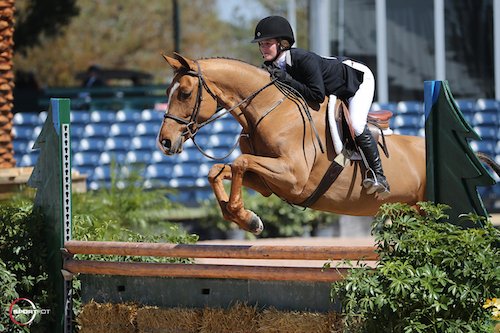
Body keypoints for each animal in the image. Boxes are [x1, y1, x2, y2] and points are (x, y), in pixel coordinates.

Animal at [157, 53, 426, 233]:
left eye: (185, 93)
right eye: (168, 92)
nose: (165, 142)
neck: (269, 108)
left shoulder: (294, 178)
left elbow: (240, 162)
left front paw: (246, 218)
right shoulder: (267, 183)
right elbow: (218, 170)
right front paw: (247, 219)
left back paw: (377, 180)